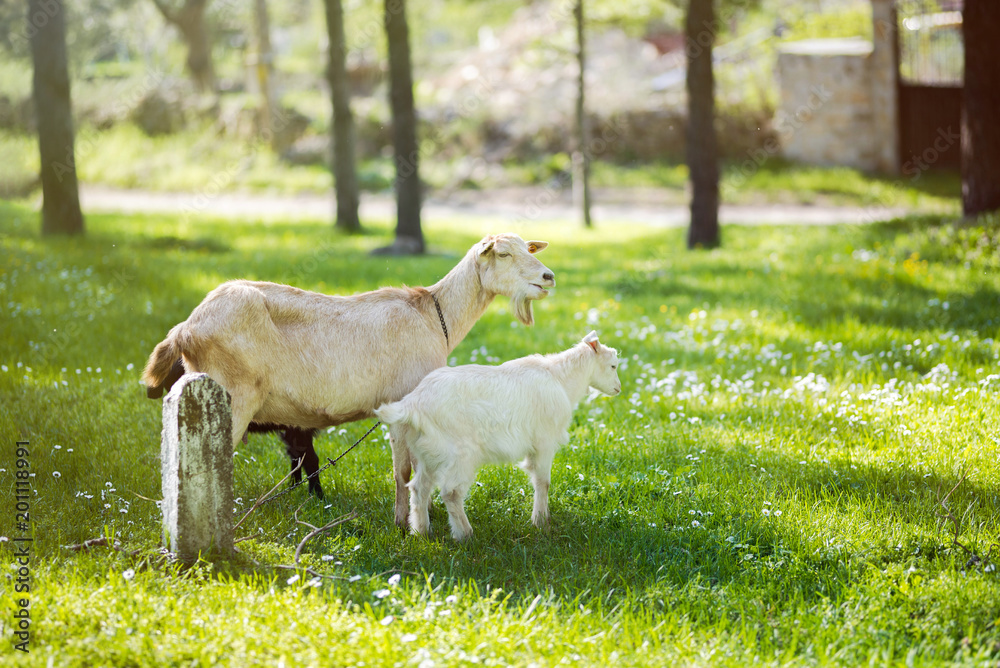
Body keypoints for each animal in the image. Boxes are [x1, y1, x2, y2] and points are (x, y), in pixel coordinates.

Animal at [143, 234, 555, 523]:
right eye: (503, 254)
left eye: (529, 247)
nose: (548, 276)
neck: (432, 317)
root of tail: (185, 329)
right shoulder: (403, 403)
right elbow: (403, 470)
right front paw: (402, 523)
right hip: (231, 396)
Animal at [374, 331, 621, 541]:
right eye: (613, 366)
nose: (618, 389)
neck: (560, 379)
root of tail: (413, 403)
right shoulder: (544, 442)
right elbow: (543, 482)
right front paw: (540, 522)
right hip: (459, 455)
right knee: (451, 493)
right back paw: (465, 535)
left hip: (429, 453)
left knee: (419, 488)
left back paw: (422, 532)